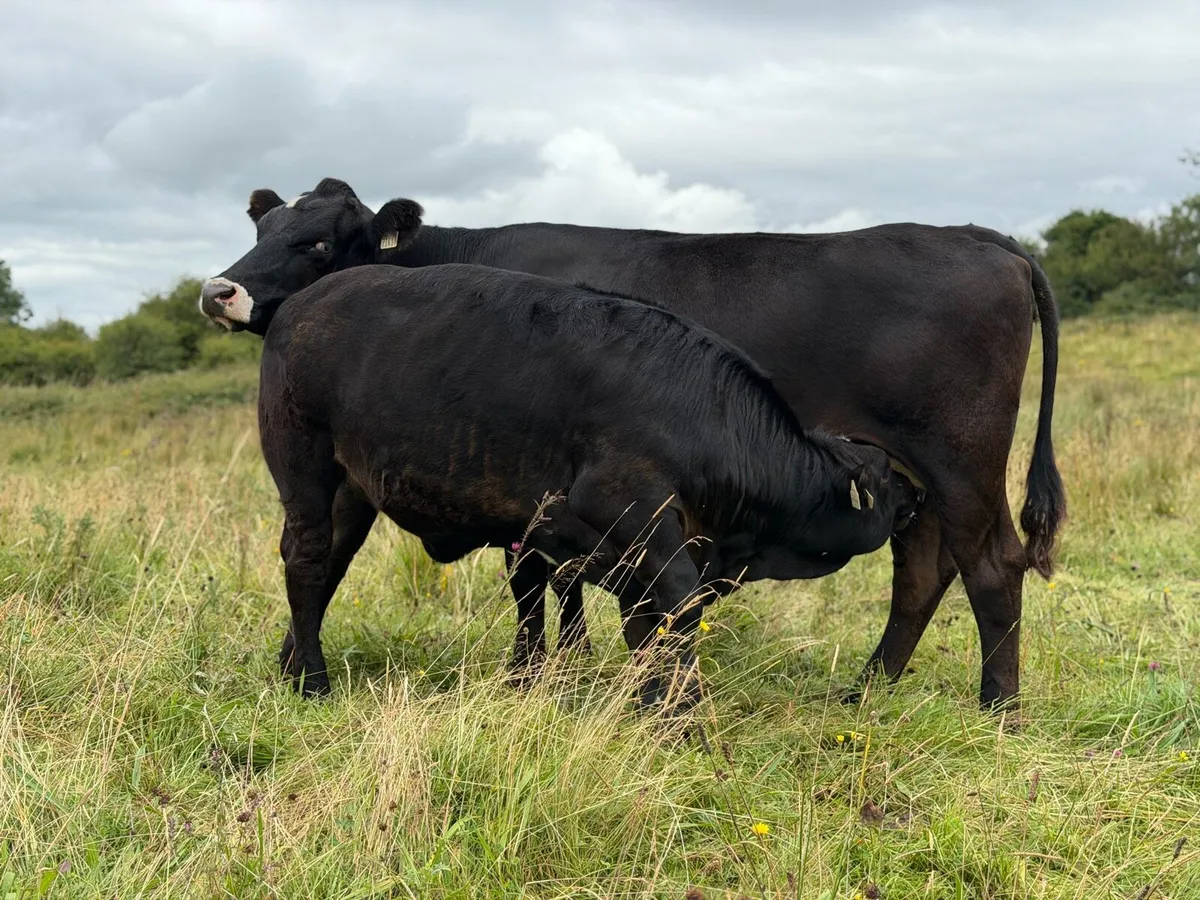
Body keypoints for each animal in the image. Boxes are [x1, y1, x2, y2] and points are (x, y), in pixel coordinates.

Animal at [226, 259, 920, 711]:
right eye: (888, 482)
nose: (919, 498)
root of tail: (300, 303)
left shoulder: (617, 552)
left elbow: (642, 625)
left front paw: (644, 704)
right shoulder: (631, 517)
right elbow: (676, 612)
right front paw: (682, 717)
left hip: (352, 494)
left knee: (326, 569)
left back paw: (293, 664)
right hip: (306, 471)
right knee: (308, 562)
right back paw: (312, 683)